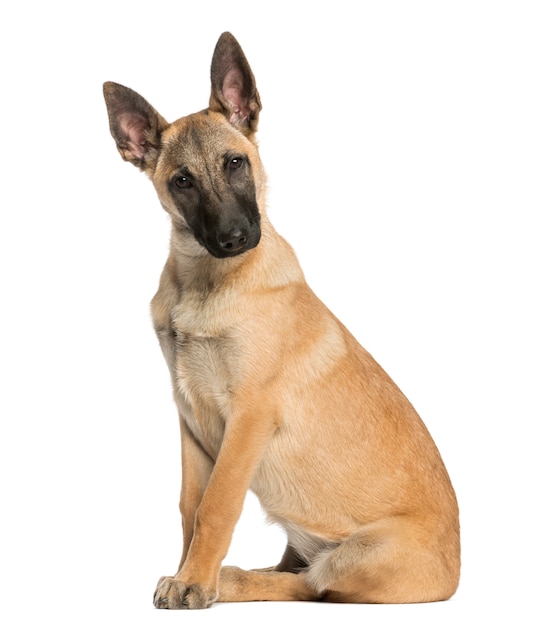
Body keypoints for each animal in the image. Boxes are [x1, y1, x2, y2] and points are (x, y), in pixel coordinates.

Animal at [103, 31, 460, 608]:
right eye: (182, 181)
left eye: (235, 163)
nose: (234, 239)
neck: (205, 283)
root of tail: (456, 572)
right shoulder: (190, 419)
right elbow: (189, 508)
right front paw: (187, 572)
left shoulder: (249, 416)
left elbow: (216, 506)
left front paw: (198, 580)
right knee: (299, 574)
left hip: (360, 554)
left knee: (312, 586)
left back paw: (231, 578)